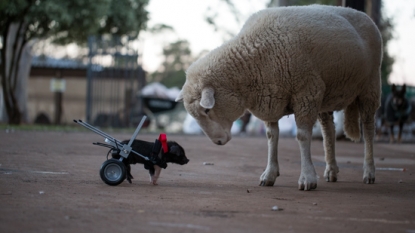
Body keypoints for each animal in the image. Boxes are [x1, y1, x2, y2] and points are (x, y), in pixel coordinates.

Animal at [176, 5, 384, 191]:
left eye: (207, 110)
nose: (218, 142)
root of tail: (363, 15)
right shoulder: (271, 99)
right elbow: (271, 137)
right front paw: (269, 175)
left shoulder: (306, 92)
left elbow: (302, 136)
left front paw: (307, 178)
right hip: (327, 93)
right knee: (328, 131)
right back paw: (331, 170)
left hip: (370, 86)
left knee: (368, 129)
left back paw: (369, 172)